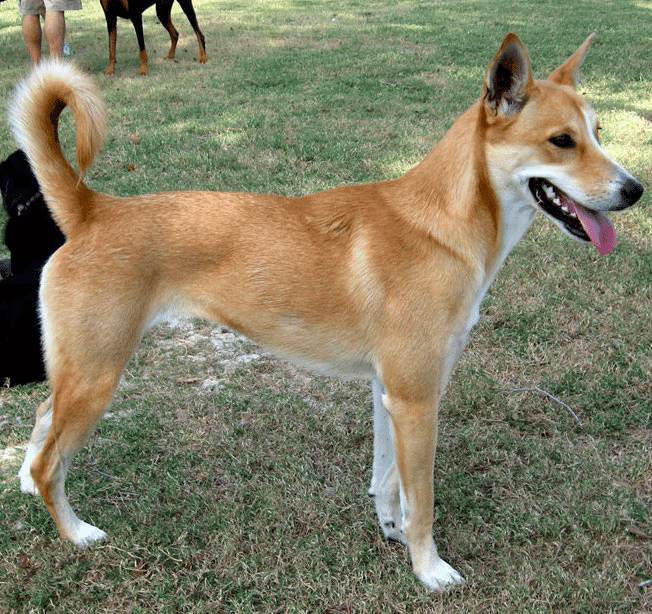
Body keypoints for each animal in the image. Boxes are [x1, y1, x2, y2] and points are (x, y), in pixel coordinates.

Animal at [8, 36, 640, 596]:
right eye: (561, 141)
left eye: (597, 134)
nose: (634, 190)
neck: (443, 223)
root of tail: (94, 210)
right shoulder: (417, 400)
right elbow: (423, 501)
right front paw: (429, 570)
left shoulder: (391, 393)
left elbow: (389, 483)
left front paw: (391, 531)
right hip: (98, 376)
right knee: (52, 462)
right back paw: (75, 530)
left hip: (80, 370)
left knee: (42, 421)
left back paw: (23, 480)